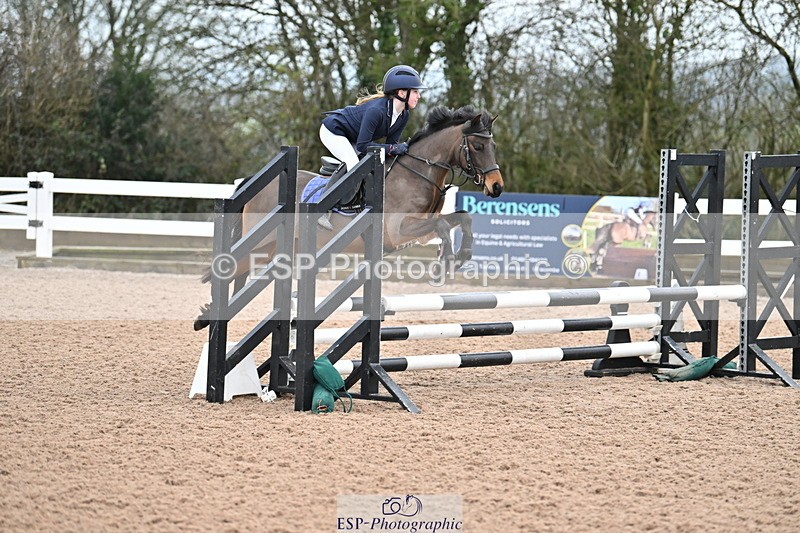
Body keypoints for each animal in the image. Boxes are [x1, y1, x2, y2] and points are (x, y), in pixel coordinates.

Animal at [194, 105, 505, 330]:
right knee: (231, 267)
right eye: (477, 147)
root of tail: (254, 183)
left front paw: (461, 256)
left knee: (240, 270)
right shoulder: (399, 230)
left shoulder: (418, 232)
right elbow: (442, 224)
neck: (417, 173)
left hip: (273, 249)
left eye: (494, 147)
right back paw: (209, 315)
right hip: (259, 241)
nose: (496, 187)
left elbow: (462, 219)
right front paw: (445, 264)